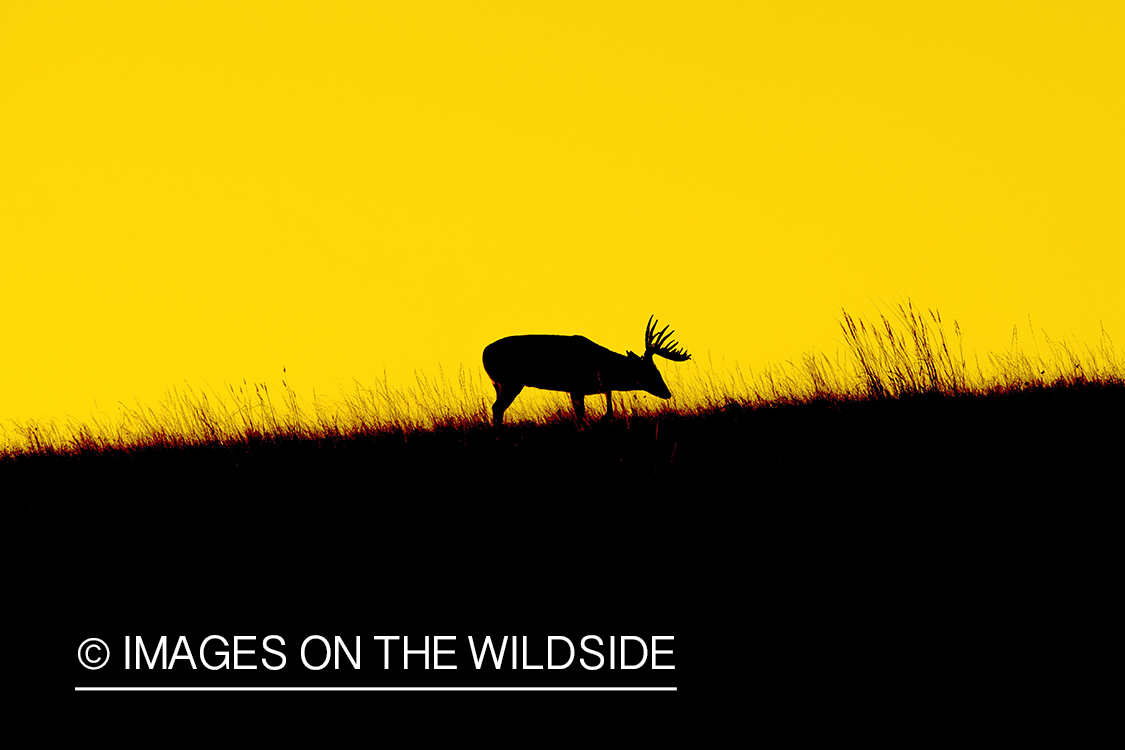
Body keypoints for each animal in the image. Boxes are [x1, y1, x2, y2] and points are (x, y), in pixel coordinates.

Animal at [486, 314, 693, 425]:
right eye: (650, 372)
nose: (667, 393)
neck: (603, 363)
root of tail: (483, 353)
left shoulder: (592, 388)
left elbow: (605, 407)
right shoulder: (576, 387)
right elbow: (581, 415)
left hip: (499, 384)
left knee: (498, 408)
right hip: (511, 381)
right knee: (497, 407)